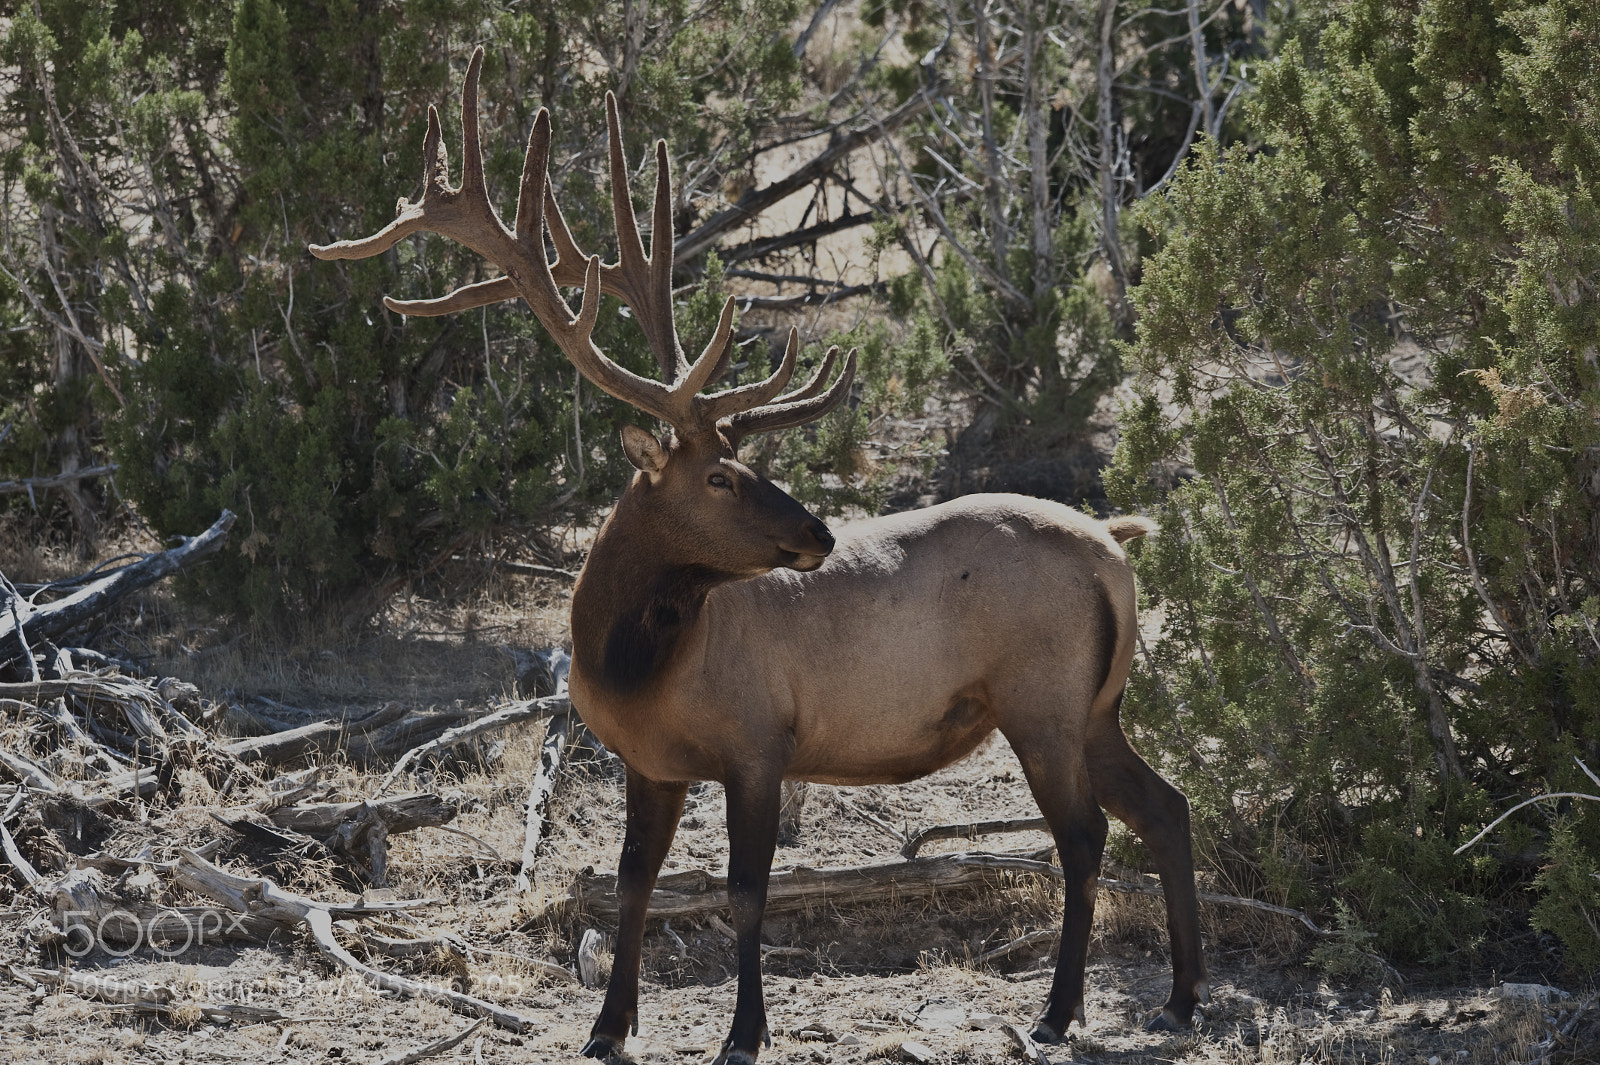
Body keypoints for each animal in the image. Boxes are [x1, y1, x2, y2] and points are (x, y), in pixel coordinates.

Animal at [311, 49, 1209, 1065]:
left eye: (750, 464)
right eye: (721, 477)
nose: (820, 534)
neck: (630, 661)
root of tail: (1116, 550)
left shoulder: (757, 743)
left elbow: (745, 892)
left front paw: (744, 1031)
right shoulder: (651, 761)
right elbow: (631, 882)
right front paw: (607, 1026)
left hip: (1041, 701)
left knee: (1085, 834)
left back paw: (1060, 1009)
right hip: (1094, 706)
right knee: (1166, 804)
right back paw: (1180, 997)